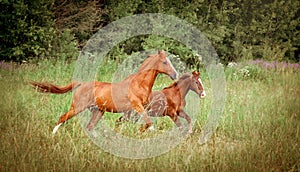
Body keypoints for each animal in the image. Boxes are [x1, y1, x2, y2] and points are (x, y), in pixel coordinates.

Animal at [29, 50, 178, 134]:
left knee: (89, 126)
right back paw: (53, 135)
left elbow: (129, 122)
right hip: (77, 107)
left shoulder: (135, 110)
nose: (175, 74)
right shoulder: (137, 106)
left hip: (97, 111)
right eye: (165, 62)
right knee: (62, 118)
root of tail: (81, 84)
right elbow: (148, 122)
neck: (139, 84)